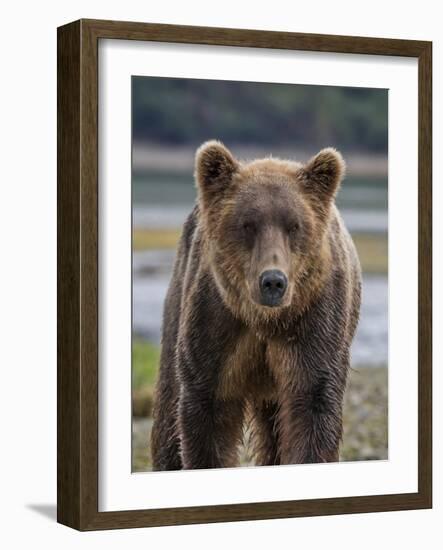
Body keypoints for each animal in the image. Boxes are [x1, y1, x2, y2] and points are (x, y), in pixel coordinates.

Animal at [151, 141, 362, 470]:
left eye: (294, 225)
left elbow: (312, 405)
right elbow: (207, 410)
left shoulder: (314, 323)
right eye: (248, 224)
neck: (264, 319)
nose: (273, 281)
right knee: (168, 407)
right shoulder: (216, 323)